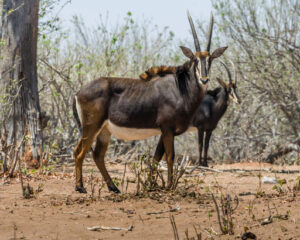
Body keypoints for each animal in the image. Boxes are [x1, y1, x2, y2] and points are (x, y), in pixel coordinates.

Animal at [73, 12, 227, 193]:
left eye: (210, 60)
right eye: (195, 59)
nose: (204, 79)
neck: (180, 88)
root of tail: (78, 92)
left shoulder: (165, 131)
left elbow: (156, 158)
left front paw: (150, 185)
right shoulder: (167, 129)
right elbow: (170, 157)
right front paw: (169, 186)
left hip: (104, 130)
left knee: (98, 155)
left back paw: (114, 187)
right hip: (91, 127)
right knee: (79, 152)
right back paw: (80, 187)